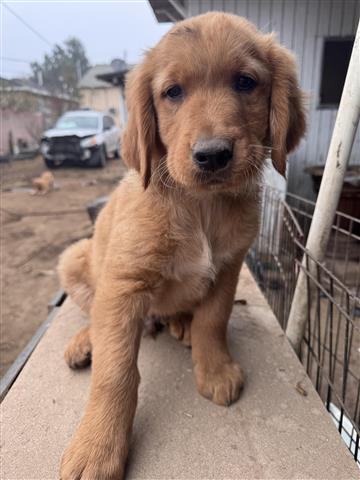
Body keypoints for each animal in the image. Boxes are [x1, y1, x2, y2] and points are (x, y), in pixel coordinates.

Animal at [57, 12, 306, 480]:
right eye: (173, 92)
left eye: (245, 82)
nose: (212, 155)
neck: (200, 207)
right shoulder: (123, 283)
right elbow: (115, 372)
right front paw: (97, 446)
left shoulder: (228, 267)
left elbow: (214, 318)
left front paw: (215, 368)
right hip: (74, 258)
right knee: (91, 310)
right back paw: (85, 341)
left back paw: (181, 325)